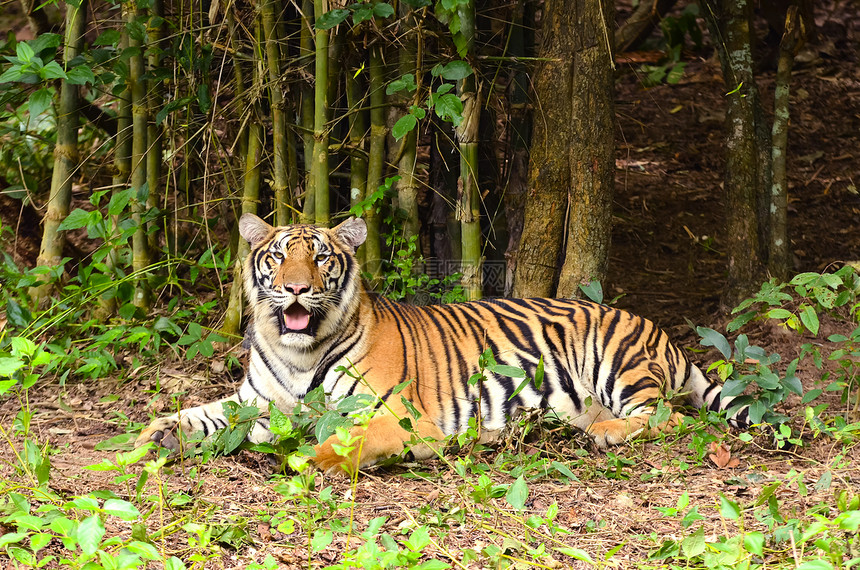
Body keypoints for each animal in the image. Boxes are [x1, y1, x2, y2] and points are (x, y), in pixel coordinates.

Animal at [138, 213, 748, 470]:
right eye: (279, 255)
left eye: (321, 257)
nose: (295, 288)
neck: (298, 352)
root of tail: (660, 331)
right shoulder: (255, 401)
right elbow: (201, 414)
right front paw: (154, 434)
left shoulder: (397, 416)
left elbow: (344, 442)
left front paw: (306, 459)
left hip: (618, 364)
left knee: (668, 417)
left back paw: (606, 434)